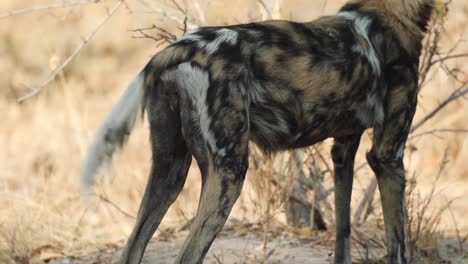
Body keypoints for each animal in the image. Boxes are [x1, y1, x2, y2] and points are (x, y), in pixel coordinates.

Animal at [82, 0, 434, 262]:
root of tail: (176, 49)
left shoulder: (343, 149)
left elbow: (342, 236)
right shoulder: (388, 157)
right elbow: (398, 247)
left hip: (169, 172)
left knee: (132, 248)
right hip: (229, 173)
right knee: (188, 255)